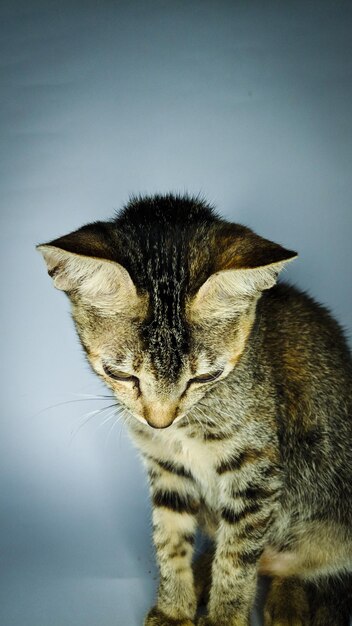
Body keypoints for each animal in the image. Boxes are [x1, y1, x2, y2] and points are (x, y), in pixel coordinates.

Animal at [37, 195, 352, 624]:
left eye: (205, 377)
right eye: (121, 374)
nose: (159, 420)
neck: (186, 429)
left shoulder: (257, 472)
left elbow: (238, 558)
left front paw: (223, 617)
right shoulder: (165, 466)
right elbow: (170, 539)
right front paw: (174, 608)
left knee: (289, 562)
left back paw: (285, 602)